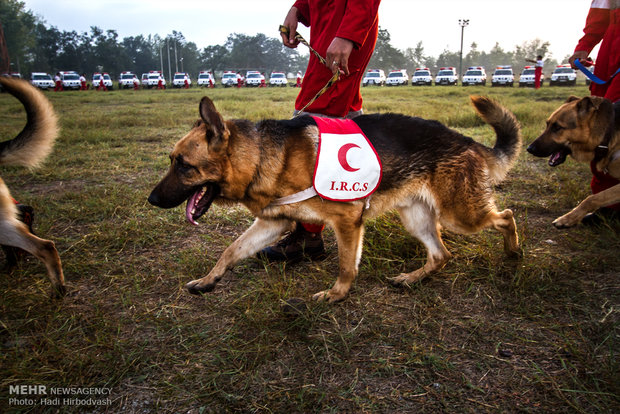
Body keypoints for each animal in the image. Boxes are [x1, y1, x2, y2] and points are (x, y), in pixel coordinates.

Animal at [150, 97, 524, 304]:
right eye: (170, 160)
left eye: (183, 165)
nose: (152, 200)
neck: (259, 155)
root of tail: (470, 142)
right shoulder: (273, 223)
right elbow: (230, 251)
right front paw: (208, 280)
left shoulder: (347, 221)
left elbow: (346, 265)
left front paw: (336, 296)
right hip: (417, 218)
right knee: (442, 254)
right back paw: (411, 278)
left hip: (459, 215)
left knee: (505, 215)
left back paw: (514, 251)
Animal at [528, 96, 620, 228]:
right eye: (547, 124)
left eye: (557, 127)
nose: (529, 148)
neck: (608, 133)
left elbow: (591, 199)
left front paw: (567, 219)